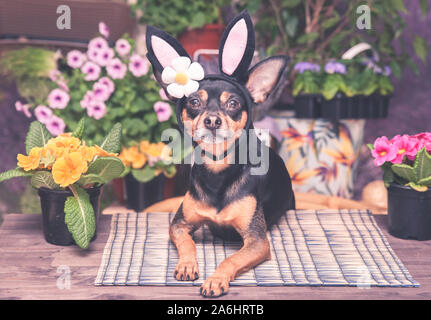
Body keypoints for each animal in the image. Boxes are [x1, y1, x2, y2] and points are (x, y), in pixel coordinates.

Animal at [147, 10, 296, 296]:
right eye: (194, 102)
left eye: (234, 103)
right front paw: (187, 264)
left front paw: (215, 279)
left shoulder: (257, 241)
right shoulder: (179, 225)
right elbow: (188, 243)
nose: (213, 120)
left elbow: (231, 258)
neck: (218, 170)